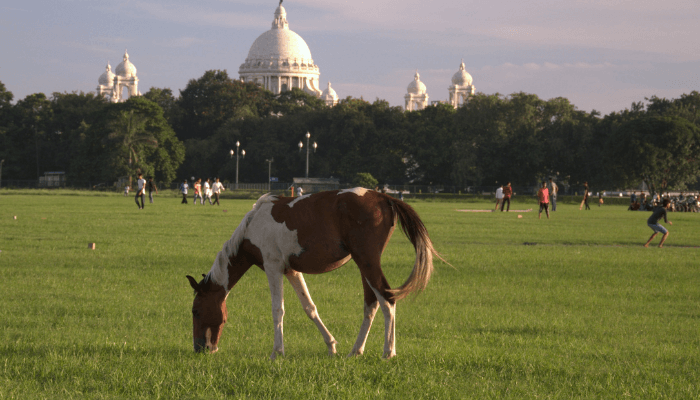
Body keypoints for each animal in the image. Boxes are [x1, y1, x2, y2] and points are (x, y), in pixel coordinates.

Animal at [183, 188, 440, 360]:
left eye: (196, 311)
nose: (200, 348)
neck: (253, 226)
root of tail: (384, 197)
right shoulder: (291, 270)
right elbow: (310, 307)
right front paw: (331, 346)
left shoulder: (273, 267)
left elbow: (278, 310)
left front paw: (277, 352)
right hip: (364, 265)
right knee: (371, 302)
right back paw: (355, 350)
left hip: (367, 261)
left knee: (387, 299)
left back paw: (388, 351)